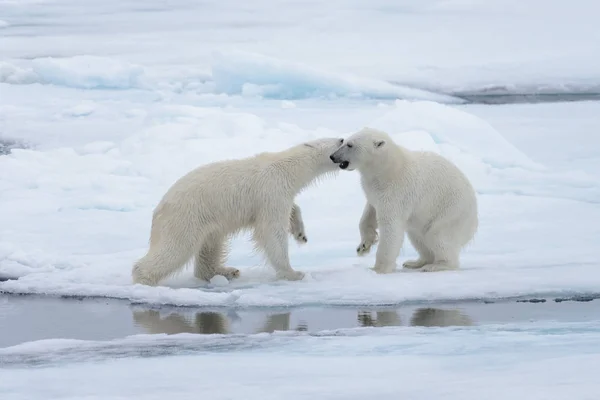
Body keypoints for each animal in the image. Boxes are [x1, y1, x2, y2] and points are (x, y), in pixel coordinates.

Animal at [133, 136, 344, 286]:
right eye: (338, 141)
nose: (344, 138)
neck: (285, 166)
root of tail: (158, 210)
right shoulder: (271, 191)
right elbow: (272, 231)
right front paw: (294, 273)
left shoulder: (281, 193)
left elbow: (293, 208)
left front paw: (301, 234)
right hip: (185, 218)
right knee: (175, 248)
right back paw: (143, 279)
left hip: (206, 220)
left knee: (211, 245)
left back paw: (225, 271)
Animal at [328, 127, 478, 272]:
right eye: (344, 141)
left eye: (350, 145)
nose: (332, 156)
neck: (387, 169)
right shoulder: (374, 192)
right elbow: (369, 214)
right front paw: (363, 246)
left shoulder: (395, 193)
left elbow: (390, 227)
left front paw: (379, 269)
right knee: (418, 237)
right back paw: (415, 262)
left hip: (451, 211)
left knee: (438, 236)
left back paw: (436, 265)